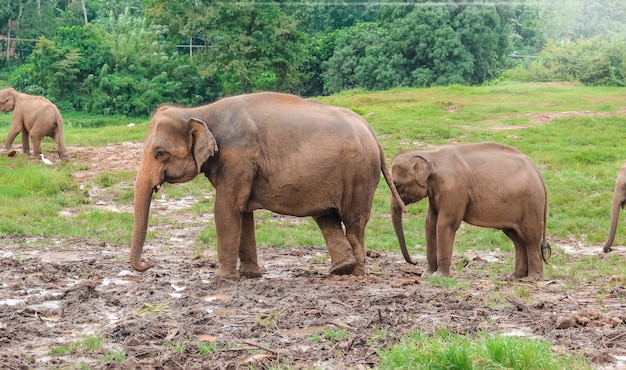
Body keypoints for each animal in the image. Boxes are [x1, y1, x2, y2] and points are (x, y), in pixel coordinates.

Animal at [130, 91, 404, 278]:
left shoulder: (238, 158)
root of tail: (372, 132)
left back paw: (355, 274)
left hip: (359, 176)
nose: (149, 264)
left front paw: (221, 277)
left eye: (159, 153)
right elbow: (243, 212)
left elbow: (226, 209)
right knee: (327, 218)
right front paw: (251, 275)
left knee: (354, 222)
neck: (203, 112)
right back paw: (340, 269)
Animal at [392, 142, 548, 280]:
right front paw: (427, 275)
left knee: (530, 238)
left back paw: (533, 278)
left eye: (396, 185)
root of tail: (537, 171)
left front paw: (439, 277)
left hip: (531, 203)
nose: (414, 262)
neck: (431, 155)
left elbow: (445, 224)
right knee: (517, 239)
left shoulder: (453, 188)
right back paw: (515, 277)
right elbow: (430, 224)